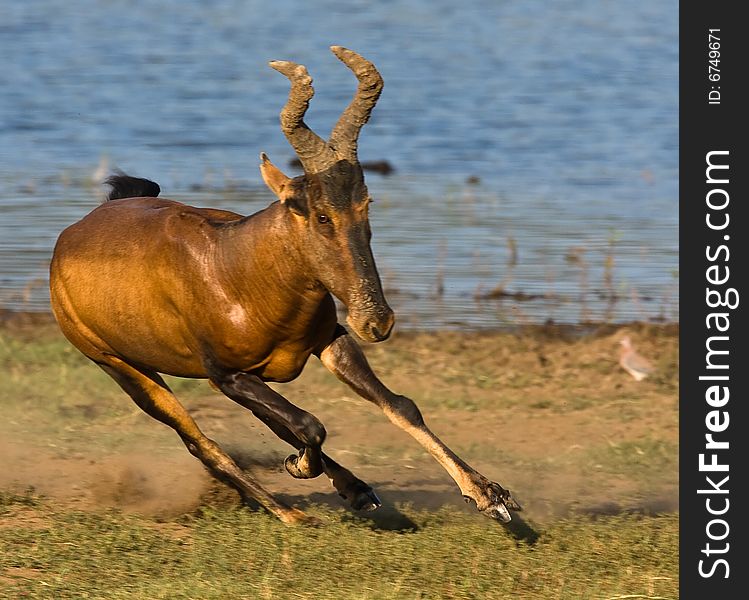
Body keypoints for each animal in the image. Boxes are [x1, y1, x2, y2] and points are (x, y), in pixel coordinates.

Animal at [48, 47, 520, 524]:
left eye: (365, 203)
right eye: (320, 214)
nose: (376, 321)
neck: (233, 263)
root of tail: (77, 230)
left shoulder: (330, 341)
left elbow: (398, 406)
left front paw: (491, 496)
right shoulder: (227, 375)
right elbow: (310, 424)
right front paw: (299, 468)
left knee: (272, 424)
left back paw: (354, 489)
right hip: (119, 366)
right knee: (202, 442)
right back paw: (292, 512)